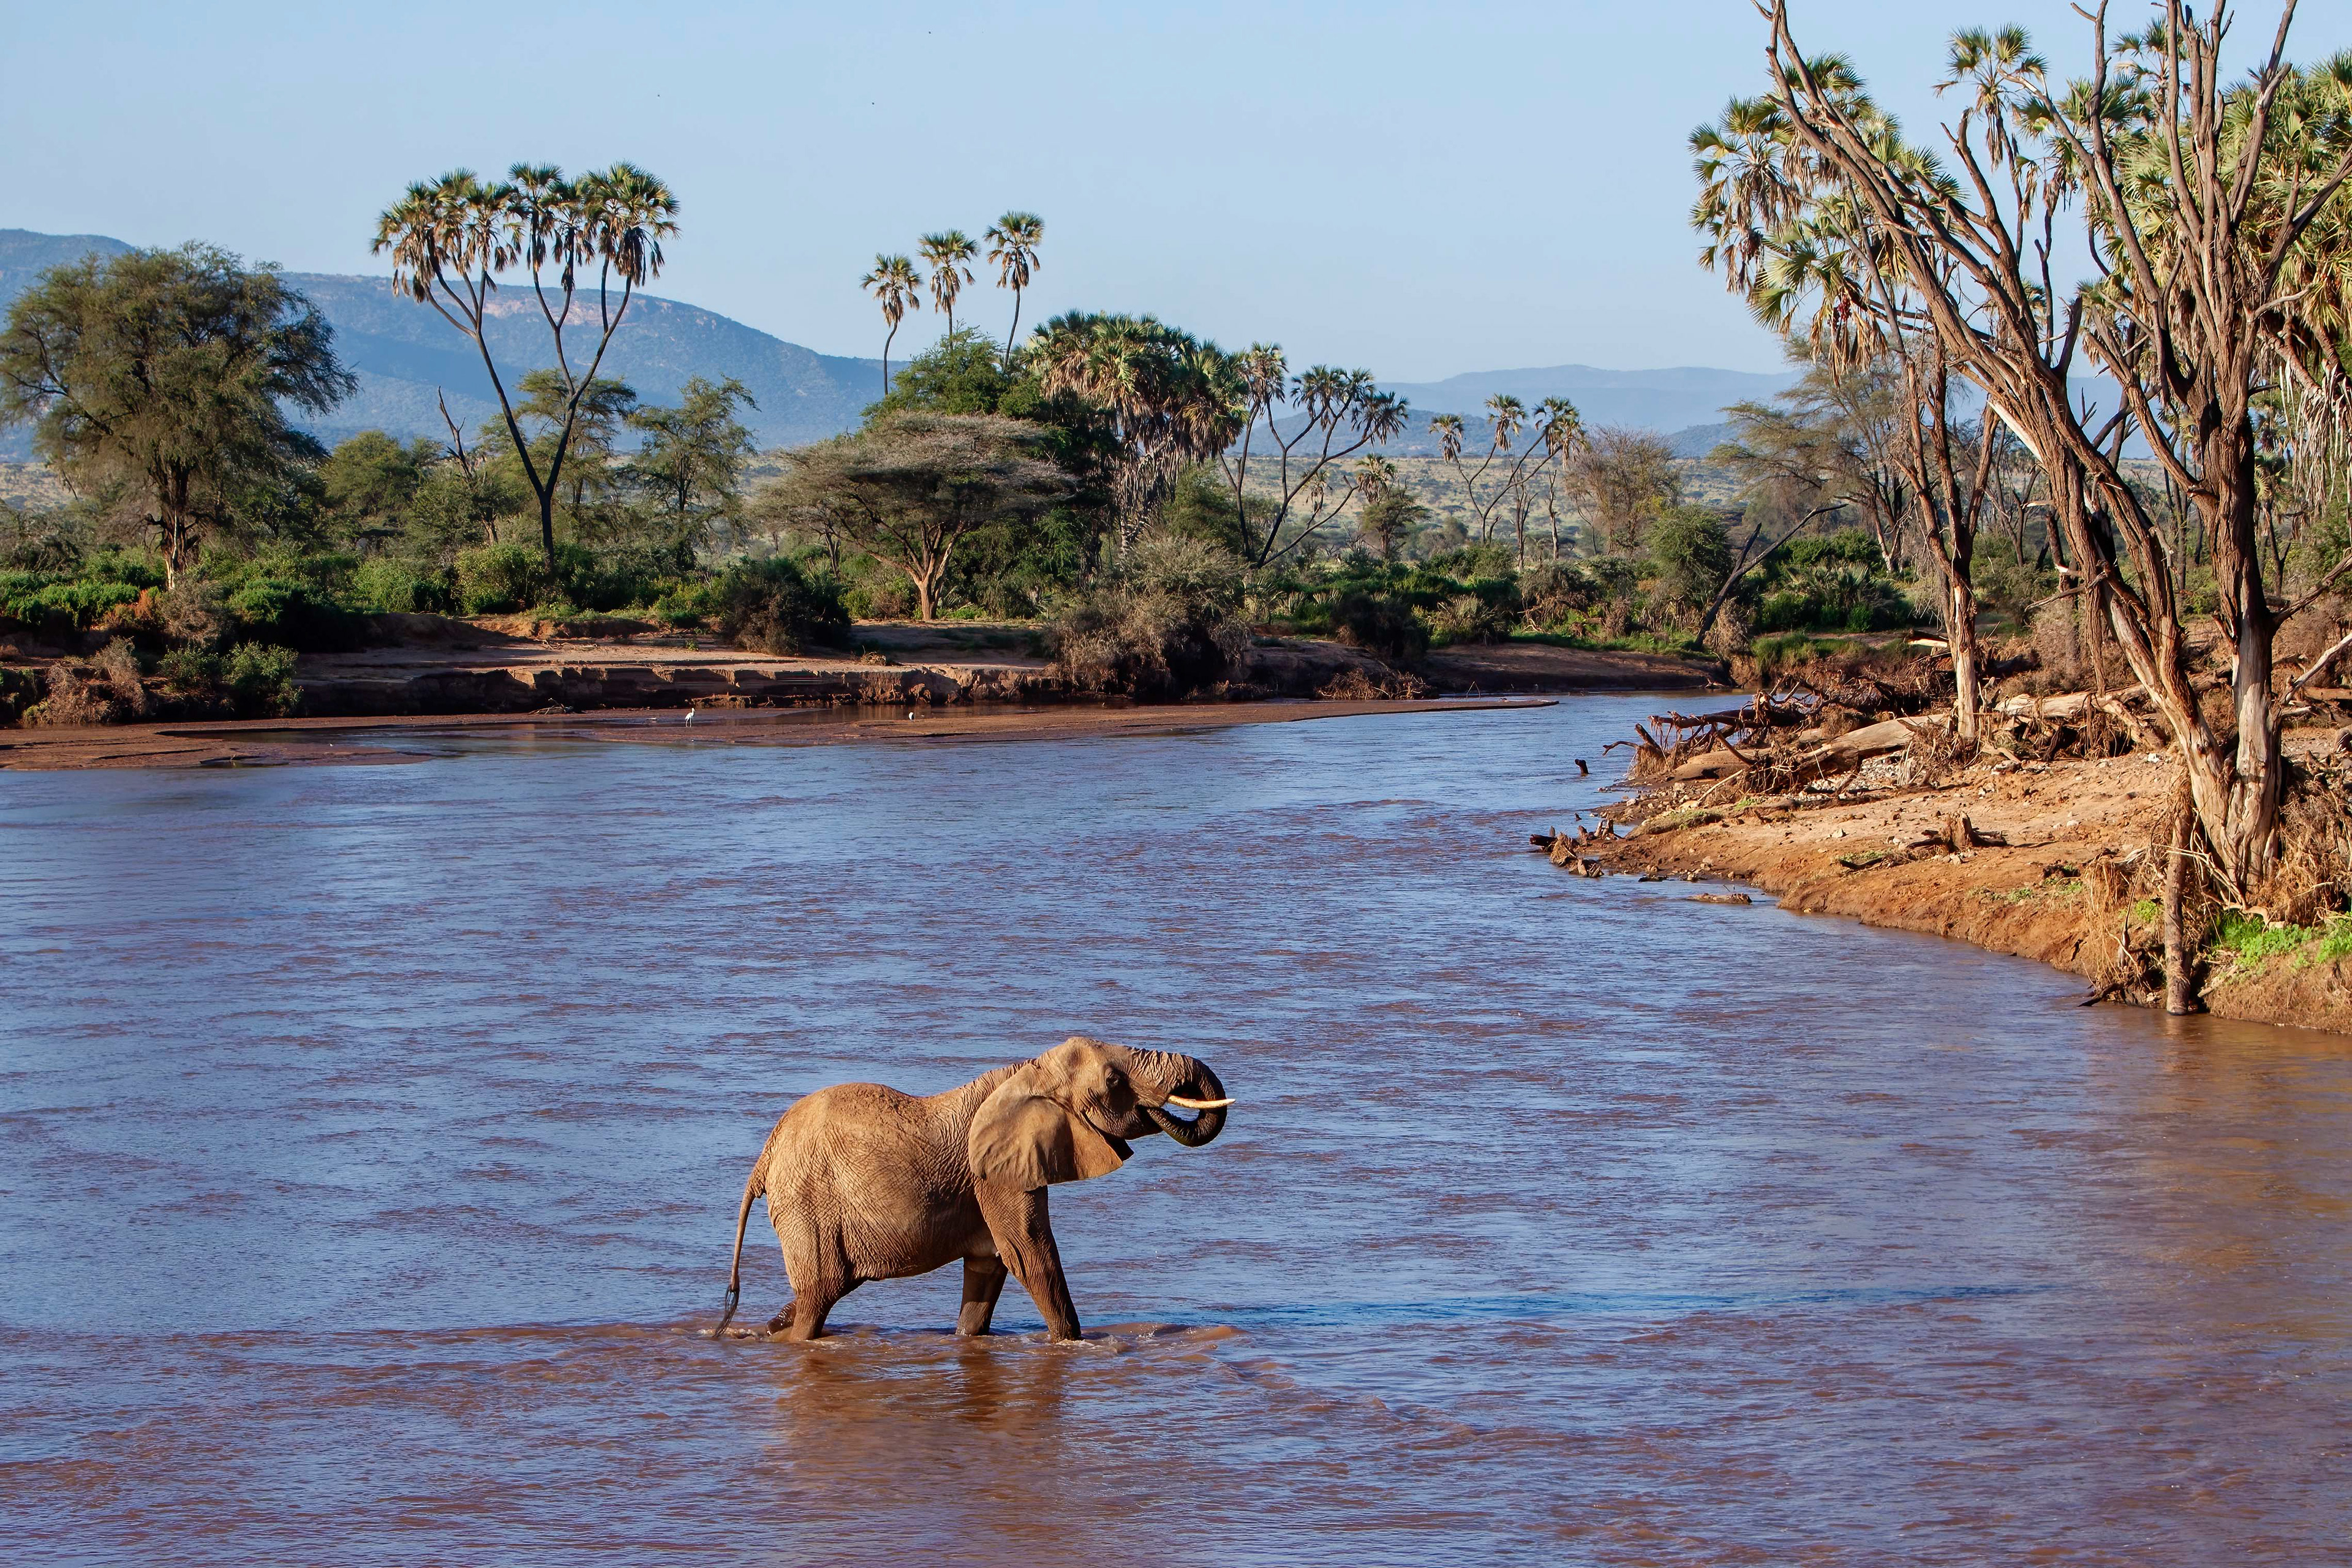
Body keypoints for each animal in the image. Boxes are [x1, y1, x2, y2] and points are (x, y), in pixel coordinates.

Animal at [715, 1036, 1232, 1342]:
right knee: (819, 1294)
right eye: (1113, 1080)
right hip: (808, 1203)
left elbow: (989, 1268)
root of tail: (765, 1158)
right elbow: (1029, 1254)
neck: (1029, 1070)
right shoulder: (995, 1175)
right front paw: (1069, 1345)